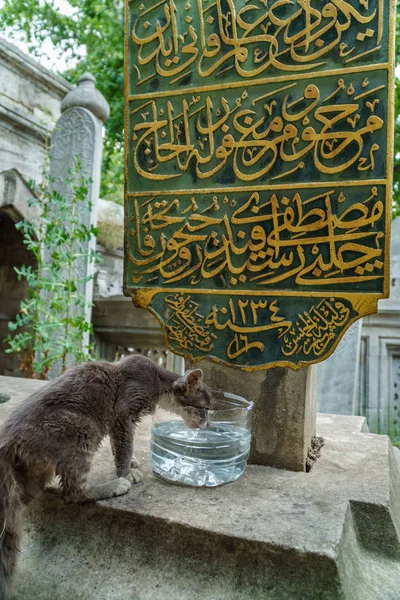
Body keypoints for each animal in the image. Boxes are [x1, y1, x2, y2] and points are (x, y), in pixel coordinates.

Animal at [0, 354, 212, 596]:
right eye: (206, 408)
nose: (209, 423)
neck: (157, 382)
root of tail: (7, 443)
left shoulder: (118, 422)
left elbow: (117, 446)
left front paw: (130, 463)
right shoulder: (123, 413)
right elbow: (124, 446)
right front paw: (126, 472)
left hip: (33, 478)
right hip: (83, 429)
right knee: (73, 491)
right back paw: (113, 486)